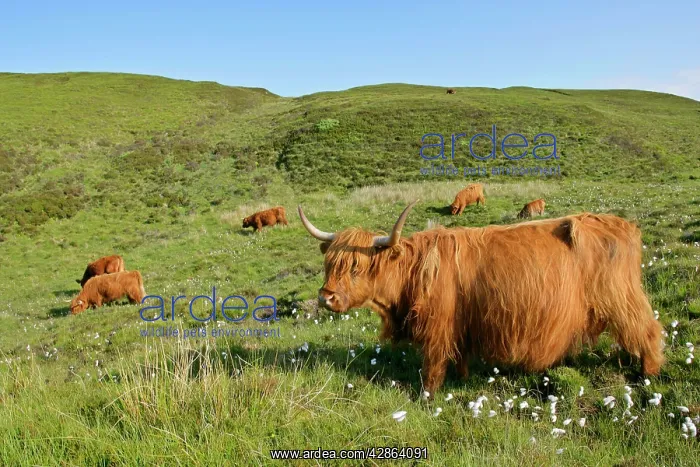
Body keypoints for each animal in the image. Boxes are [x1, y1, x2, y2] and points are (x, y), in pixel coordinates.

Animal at [298, 200, 664, 398]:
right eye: (330, 264)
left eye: (356, 266)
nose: (326, 298)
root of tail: (623, 225)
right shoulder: (461, 324)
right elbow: (459, 356)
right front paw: (461, 379)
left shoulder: (437, 328)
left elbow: (432, 366)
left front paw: (427, 397)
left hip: (622, 299)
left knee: (648, 331)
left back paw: (649, 374)